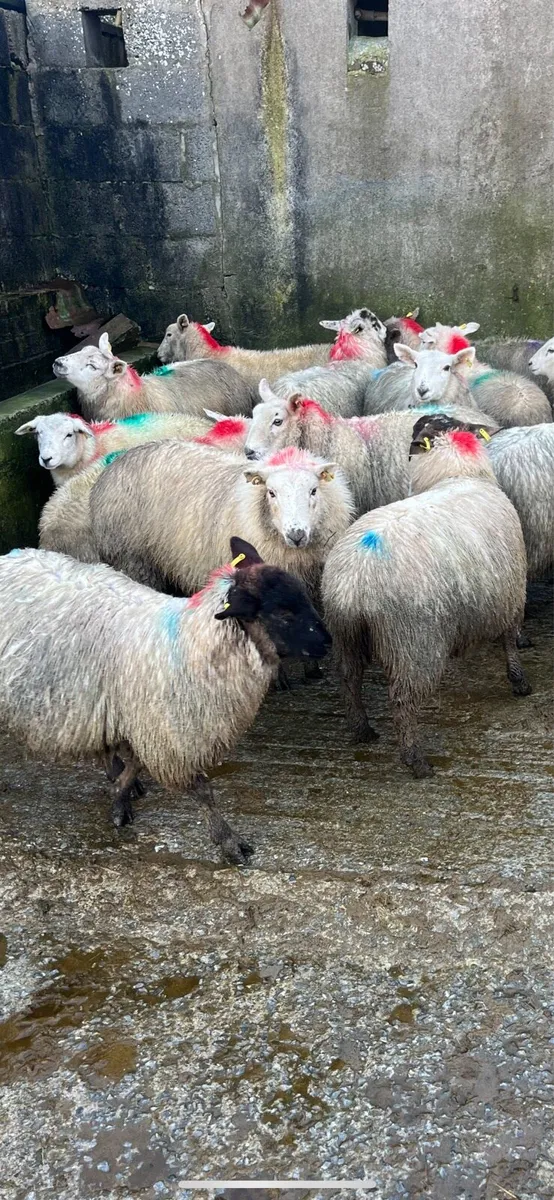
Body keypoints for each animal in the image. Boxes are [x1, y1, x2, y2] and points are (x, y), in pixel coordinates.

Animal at [0, 538, 331, 863]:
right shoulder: (166, 732)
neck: (193, 643)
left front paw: (119, 796)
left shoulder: (148, 724)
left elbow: (135, 763)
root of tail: (11, 556)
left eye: (304, 598)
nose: (328, 643)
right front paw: (228, 842)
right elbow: (202, 791)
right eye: (283, 614)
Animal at [322, 413, 530, 778]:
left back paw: (362, 730)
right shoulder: (510, 594)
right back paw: (416, 760)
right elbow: (509, 640)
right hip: (413, 642)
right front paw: (519, 682)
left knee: (348, 678)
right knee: (402, 700)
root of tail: (353, 581)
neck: (455, 475)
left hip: (345, 633)